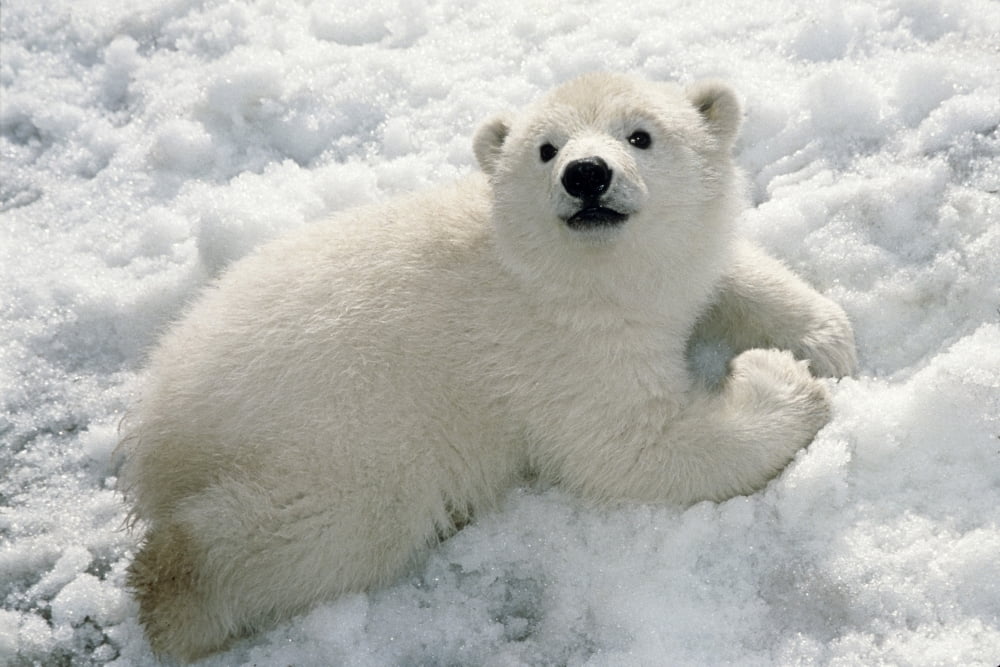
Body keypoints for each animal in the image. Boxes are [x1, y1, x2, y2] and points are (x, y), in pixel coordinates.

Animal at [118, 72, 857, 662]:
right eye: (546, 147)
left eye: (641, 134)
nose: (587, 174)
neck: (557, 271)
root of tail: (158, 429)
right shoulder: (554, 347)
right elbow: (632, 446)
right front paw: (783, 379)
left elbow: (718, 273)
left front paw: (824, 337)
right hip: (338, 439)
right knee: (316, 530)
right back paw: (178, 600)